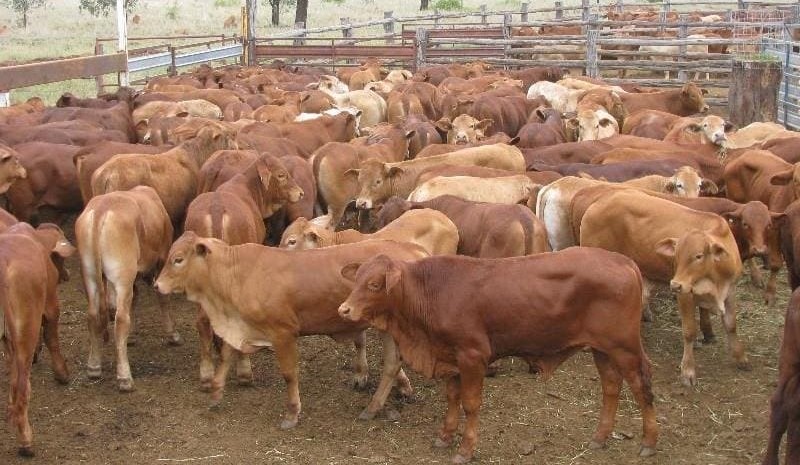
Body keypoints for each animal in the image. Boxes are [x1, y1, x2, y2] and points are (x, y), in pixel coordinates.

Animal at [1, 222, 75, 456]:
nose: (67, 274)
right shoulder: (51, 305)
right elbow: (51, 337)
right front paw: (62, 373)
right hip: (26, 331)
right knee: (22, 386)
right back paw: (26, 441)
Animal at [75, 186, 178, 392]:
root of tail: (101, 210)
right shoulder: (163, 259)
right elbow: (162, 297)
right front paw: (172, 335)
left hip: (90, 274)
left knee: (94, 315)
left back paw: (94, 367)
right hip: (122, 275)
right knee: (121, 318)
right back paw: (124, 377)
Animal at [154, 234, 428, 427]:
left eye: (178, 259)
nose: (157, 285)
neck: (237, 276)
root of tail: (412, 249)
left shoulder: (283, 333)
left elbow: (289, 374)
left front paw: (292, 413)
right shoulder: (241, 327)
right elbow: (225, 360)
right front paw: (214, 395)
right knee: (392, 364)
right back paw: (375, 406)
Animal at [337, 248, 658, 463]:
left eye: (374, 284)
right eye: (357, 279)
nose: (344, 309)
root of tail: (623, 260)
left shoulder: (472, 355)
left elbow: (470, 404)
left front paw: (465, 450)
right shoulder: (449, 358)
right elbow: (452, 398)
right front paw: (445, 437)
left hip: (625, 348)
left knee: (642, 387)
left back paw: (649, 442)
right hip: (603, 350)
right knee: (611, 387)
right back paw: (600, 438)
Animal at [577, 189, 748, 386]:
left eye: (698, 256)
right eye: (677, 256)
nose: (674, 284)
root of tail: (600, 202)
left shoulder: (730, 290)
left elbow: (731, 325)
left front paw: (740, 358)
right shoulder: (685, 294)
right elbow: (689, 331)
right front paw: (688, 371)